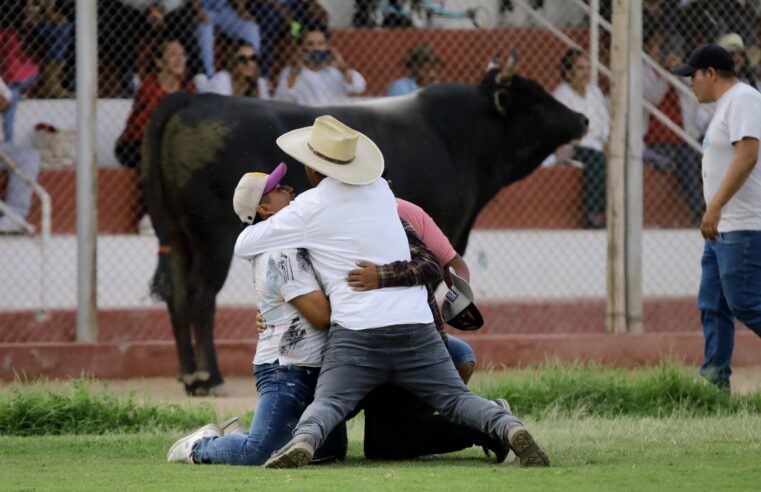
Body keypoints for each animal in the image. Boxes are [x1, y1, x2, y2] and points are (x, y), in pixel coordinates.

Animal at [145, 67, 588, 394]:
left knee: (177, 292)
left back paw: (190, 375)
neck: (459, 139)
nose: (582, 119)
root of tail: (194, 98)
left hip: (177, 235)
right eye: (536, 100)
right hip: (213, 239)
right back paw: (210, 377)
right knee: (200, 295)